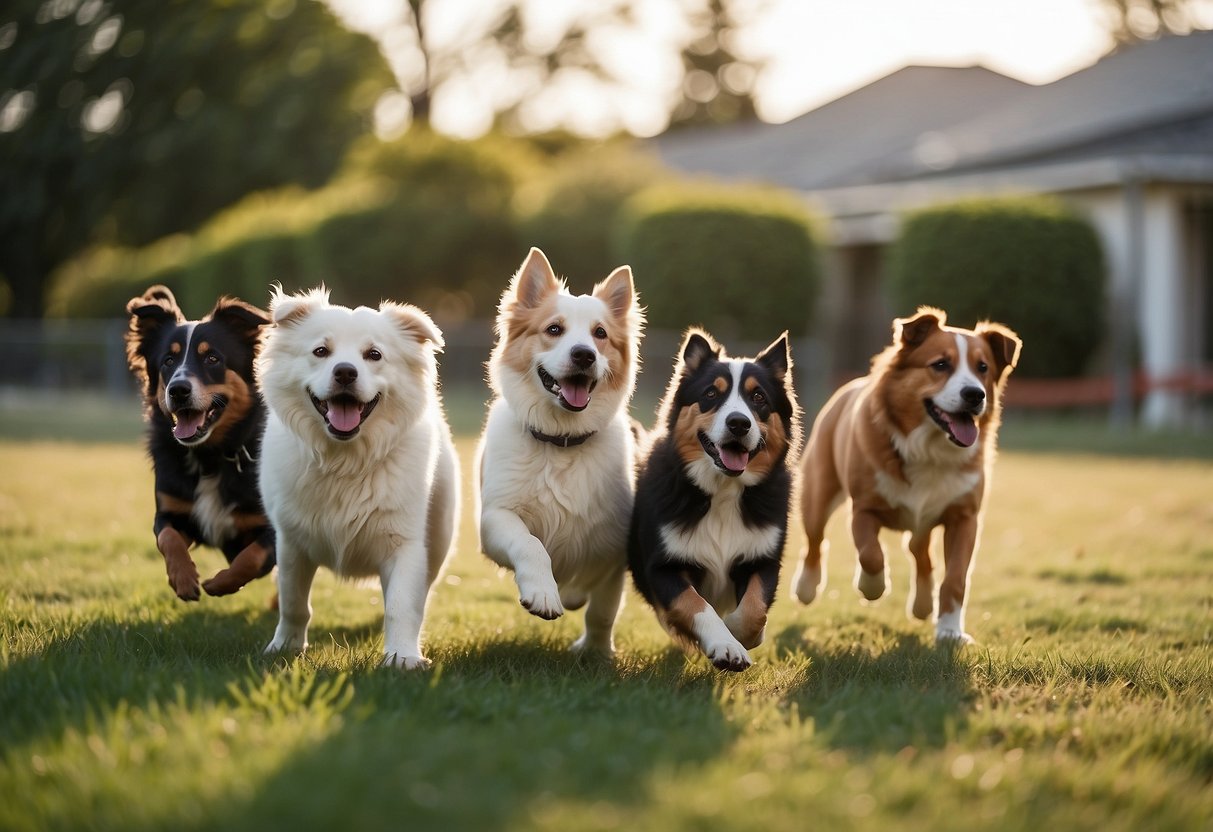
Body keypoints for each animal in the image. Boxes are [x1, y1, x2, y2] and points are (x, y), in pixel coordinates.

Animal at [127, 289, 278, 603]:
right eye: (168, 361)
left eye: (212, 358)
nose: (178, 390)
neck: (210, 456)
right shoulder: (172, 511)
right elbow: (168, 538)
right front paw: (183, 579)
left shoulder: (271, 530)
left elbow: (251, 557)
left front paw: (220, 583)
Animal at [259, 286, 458, 669]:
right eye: (321, 351)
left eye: (374, 355)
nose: (345, 373)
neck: (346, 461)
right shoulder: (292, 543)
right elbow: (293, 603)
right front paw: (285, 648)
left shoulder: (405, 544)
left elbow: (402, 606)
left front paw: (402, 657)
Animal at [475, 251, 645, 654]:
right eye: (554, 330)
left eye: (600, 334)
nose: (584, 355)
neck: (561, 441)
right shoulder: (495, 519)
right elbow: (530, 544)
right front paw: (544, 593)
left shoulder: (615, 547)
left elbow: (603, 608)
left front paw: (597, 652)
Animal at [630, 329, 800, 674]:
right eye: (711, 393)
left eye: (758, 397)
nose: (739, 423)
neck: (723, 492)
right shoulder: (663, 566)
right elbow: (696, 603)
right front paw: (725, 645)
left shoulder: (763, 559)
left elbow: (754, 609)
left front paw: (738, 633)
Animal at [790, 308, 1018, 645]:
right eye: (940, 364)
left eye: (983, 368)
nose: (975, 395)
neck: (929, 451)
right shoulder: (864, 508)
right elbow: (871, 554)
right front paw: (871, 587)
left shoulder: (964, 517)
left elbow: (955, 579)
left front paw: (950, 630)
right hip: (818, 493)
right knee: (815, 542)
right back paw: (806, 587)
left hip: (923, 522)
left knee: (919, 553)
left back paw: (923, 606)